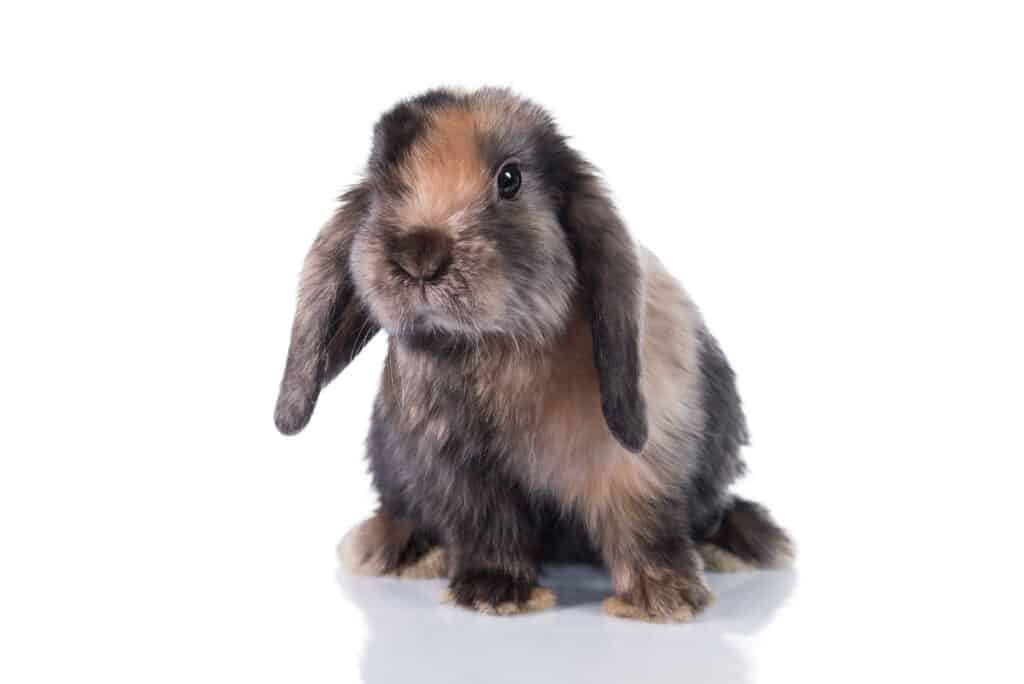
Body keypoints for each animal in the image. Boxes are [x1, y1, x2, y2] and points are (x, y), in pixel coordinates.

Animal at [276, 85, 794, 618]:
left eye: (511, 179)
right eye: (381, 185)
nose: (420, 256)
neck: (491, 345)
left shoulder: (634, 461)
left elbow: (644, 522)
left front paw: (664, 599)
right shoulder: (457, 468)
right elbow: (485, 526)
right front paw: (494, 593)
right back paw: (394, 547)